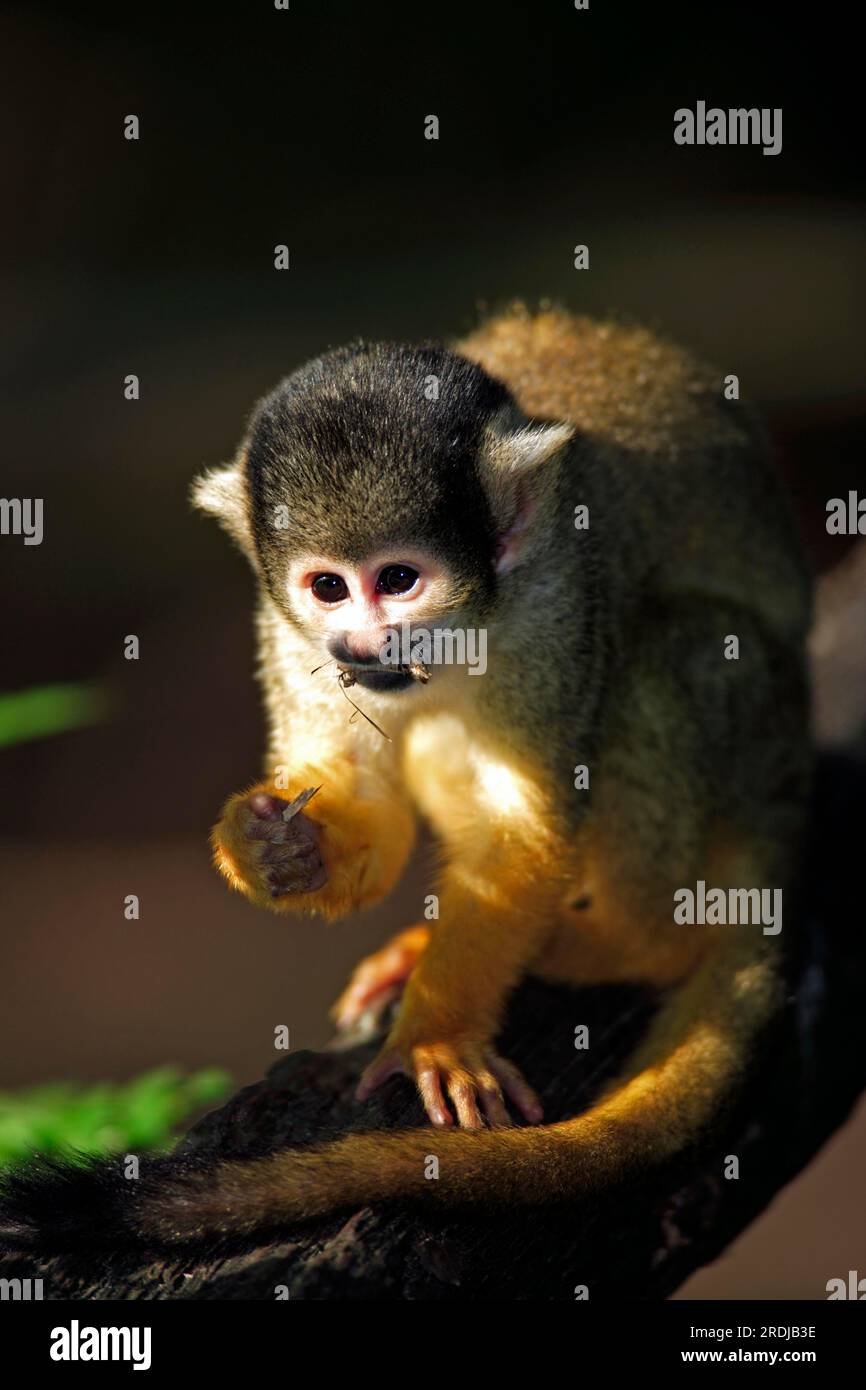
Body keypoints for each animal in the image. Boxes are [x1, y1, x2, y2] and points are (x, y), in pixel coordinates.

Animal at [0, 305, 812, 1247]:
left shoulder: (557, 602)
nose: (361, 645)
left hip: (755, 728)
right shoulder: (285, 627)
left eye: (397, 579)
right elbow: (367, 801)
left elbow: (526, 825)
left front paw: (436, 1037)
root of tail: (791, 782)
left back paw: (621, 942)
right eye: (327, 588)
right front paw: (272, 850)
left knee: (666, 651)